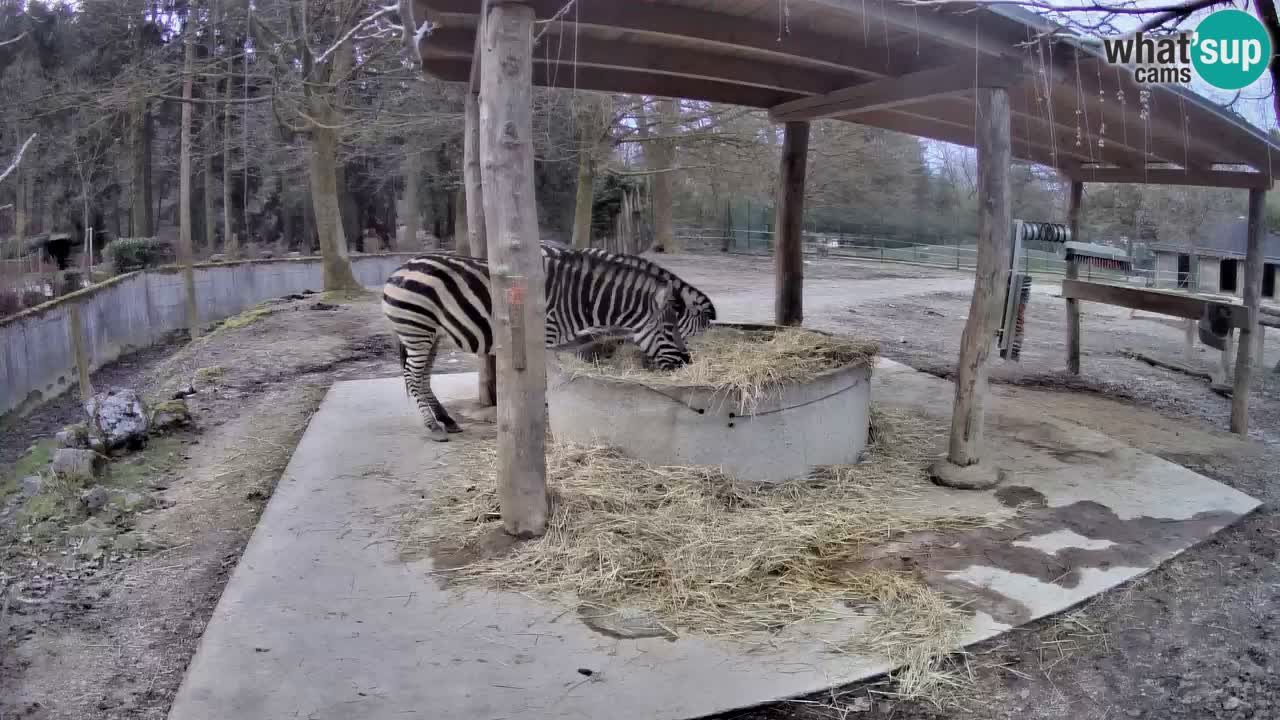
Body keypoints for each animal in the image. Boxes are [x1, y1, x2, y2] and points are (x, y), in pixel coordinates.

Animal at [378, 243, 721, 440]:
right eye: (670, 330)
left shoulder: (561, 341)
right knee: (413, 376)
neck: (583, 298)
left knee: (422, 377)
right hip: (417, 330)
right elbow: (543, 380)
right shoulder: (545, 337)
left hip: (430, 333)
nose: (687, 363)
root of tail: (399, 267)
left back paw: (446, 420)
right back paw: (433, 426)